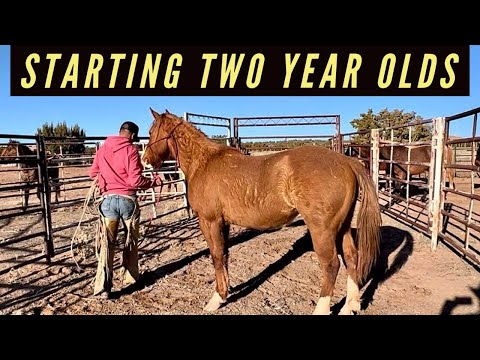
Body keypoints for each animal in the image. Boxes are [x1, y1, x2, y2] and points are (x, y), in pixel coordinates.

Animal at [142, 109, 382, 316]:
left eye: (152, 131)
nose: (145, 161)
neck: (204, 163)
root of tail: (346, 161)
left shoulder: (210, 220)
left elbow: (217, 255)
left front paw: (217, 299)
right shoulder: (224, 222)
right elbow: (225, 254)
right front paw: (227, 290)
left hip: (322, 229)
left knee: (331, 265)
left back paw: (321, 309)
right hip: (342, 226)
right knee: (351, 257)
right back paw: (350, 306)